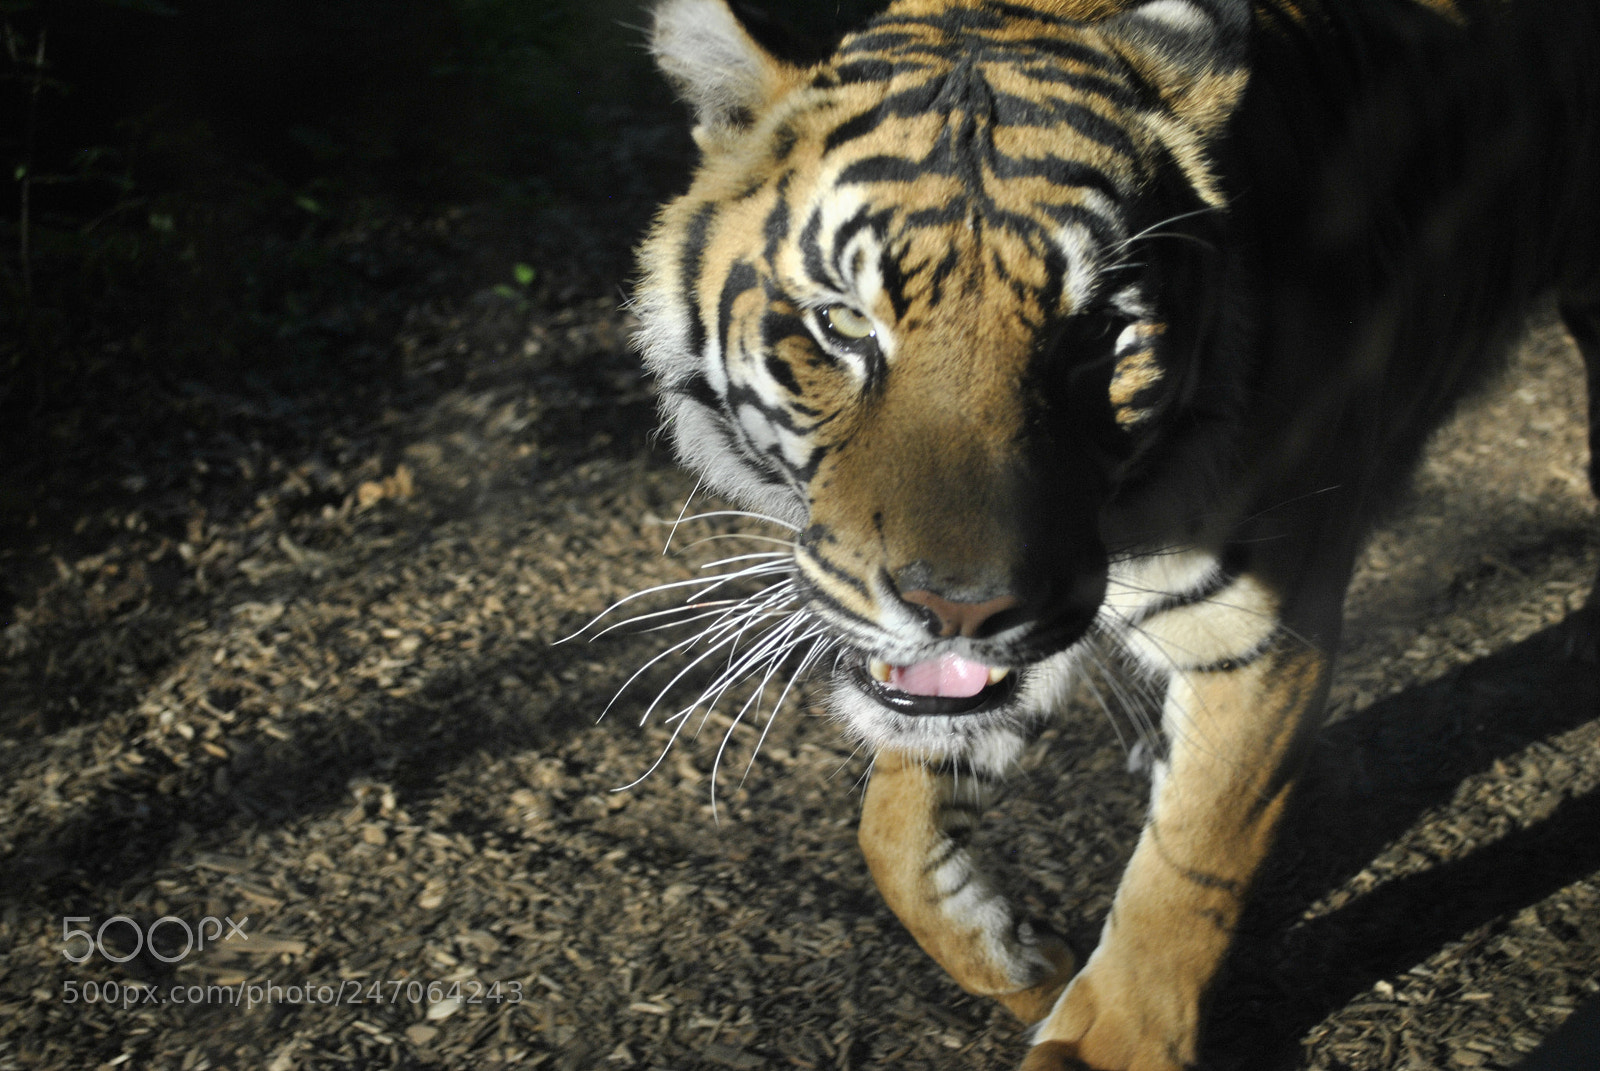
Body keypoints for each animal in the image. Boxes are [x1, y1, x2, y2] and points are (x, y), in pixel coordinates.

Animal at [626, 0, 1600, 1067]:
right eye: (843, 325)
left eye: (1093, 335)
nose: (959, 609)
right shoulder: (1038, 619)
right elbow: (892, 821)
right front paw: (1018, 956)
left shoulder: (1262, 639)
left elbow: (1190, 865)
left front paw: (1108, 1032)